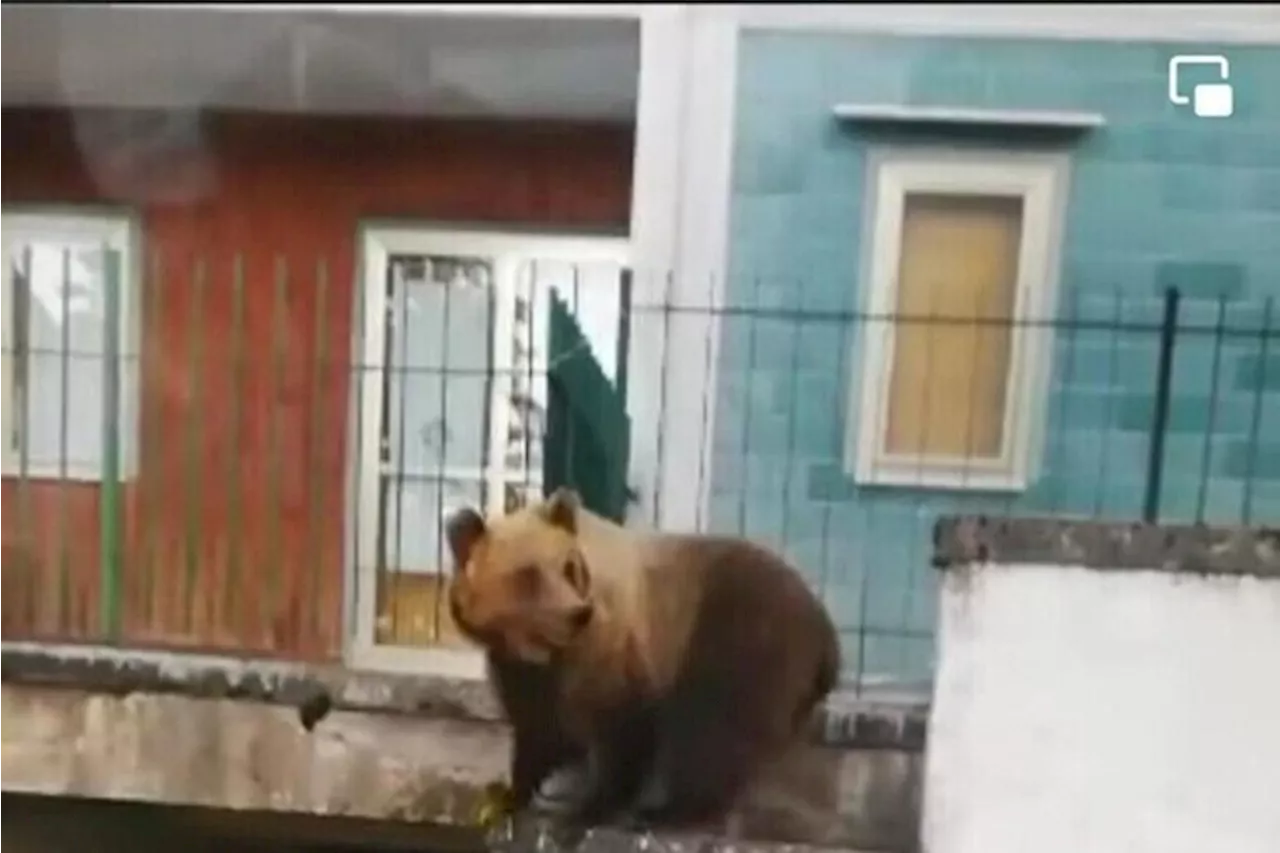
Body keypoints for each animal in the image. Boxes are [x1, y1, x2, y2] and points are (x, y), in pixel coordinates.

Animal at [442, 489, 839, 824]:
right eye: (527, 574)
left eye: (569, 567)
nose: (576, 613)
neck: (539, 649)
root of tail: (826, 631)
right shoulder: (518, 667)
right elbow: (537, 728)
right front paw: (509, 792)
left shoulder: (613, 646)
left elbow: (625, 726)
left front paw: (588, 806)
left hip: (739, 633)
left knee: (710, 726)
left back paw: (671, 812)